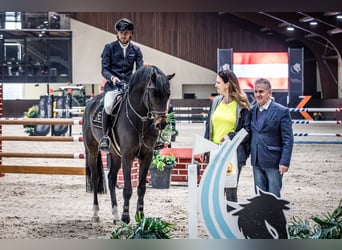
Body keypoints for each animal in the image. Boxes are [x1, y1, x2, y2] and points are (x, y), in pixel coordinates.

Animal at [82, 65, 174, 224]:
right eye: (153, 94)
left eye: (168, 94)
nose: (161, 124)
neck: (140, 120)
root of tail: (90, 102)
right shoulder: (127, 155)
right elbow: (127, 189)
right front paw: (126, 217)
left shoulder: (147, 155)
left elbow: (141, 187)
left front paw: (140, 216)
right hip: (92, 150)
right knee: (95, 178)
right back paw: (96, 213)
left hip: (115, 154)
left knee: (111, 178)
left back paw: (115, 214)